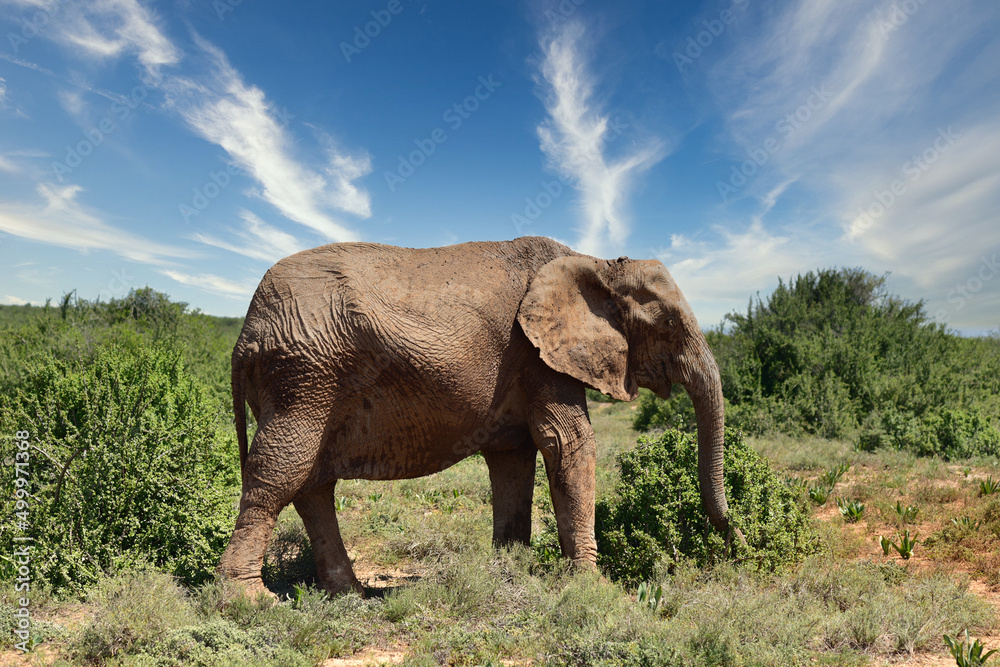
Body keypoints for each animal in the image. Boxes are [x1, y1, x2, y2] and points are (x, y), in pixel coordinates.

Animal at [217, 236, 733, 597]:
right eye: (669, 324)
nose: (734, 542)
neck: (596, 262)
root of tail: (245, 333)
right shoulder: (537, 355)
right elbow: (568, 442)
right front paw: (594, 588)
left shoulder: (528, 363)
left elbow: (514, 458)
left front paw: (512, 570)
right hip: (304, 377)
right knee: (278, 473)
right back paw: (249, 602)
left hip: (304, 380)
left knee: (312, 484)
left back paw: (350, 595)